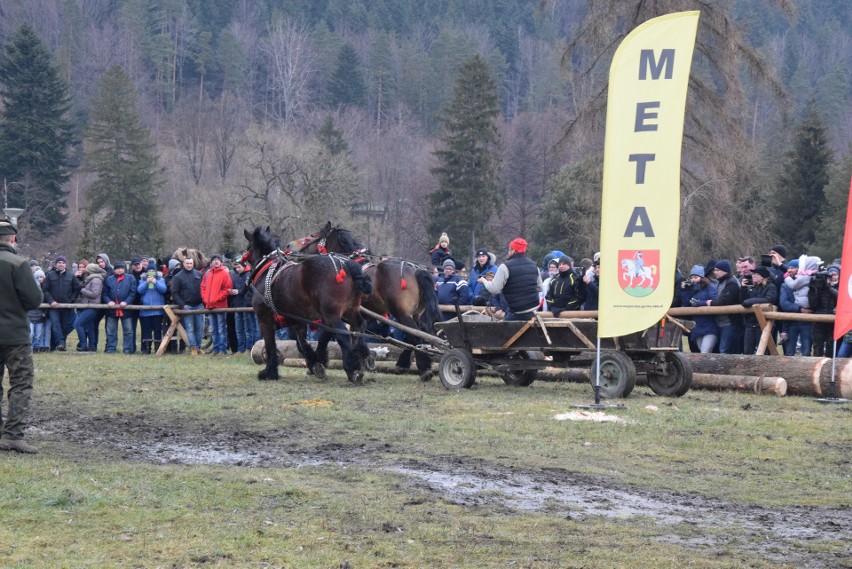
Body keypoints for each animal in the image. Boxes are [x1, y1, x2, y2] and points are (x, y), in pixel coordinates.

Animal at [241, 225, 372, 382]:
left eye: (248, 247)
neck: (266, 271)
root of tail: (347, 264)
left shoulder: (264, 318)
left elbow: (270, 344)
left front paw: (269, 372)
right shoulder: (297, 320)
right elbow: (301, 343)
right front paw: (315, 363)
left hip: (331, 315)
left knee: (344, 335)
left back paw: (352, 369)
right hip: (351, 310)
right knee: (359, 327)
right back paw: (361, 358)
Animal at [284, 224, 440, 380]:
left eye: (311, 236)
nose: (289, 246)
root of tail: (416, 270)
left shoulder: (333, 315)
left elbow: (325, 337)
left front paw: (319, 362)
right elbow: (355, 335)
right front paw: (362, 360)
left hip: (402, 314)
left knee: (415, 336)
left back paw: (423, 369)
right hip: (415, 314)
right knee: (419, 333)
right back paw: (406, 363)